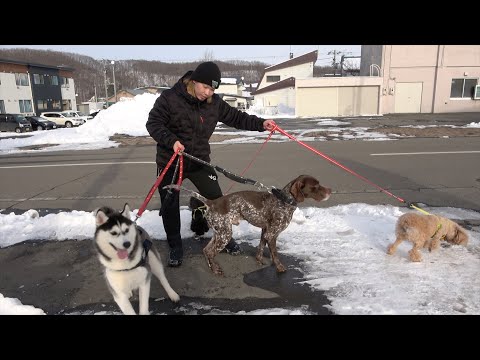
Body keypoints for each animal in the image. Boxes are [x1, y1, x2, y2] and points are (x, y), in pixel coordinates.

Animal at [165, 176, 330, 278]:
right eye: (315, 186)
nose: (330, 191)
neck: (284, 200)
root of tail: (211, 202)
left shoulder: (265, 231)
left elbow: (261, 247)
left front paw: (259, 261)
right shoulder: (272, 234)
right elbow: (275, 254)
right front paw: (279, 268)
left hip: (219, 233)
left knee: (206, 250)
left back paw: (213, 267)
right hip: (225, 234)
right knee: (210, 252)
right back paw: (216, 270)